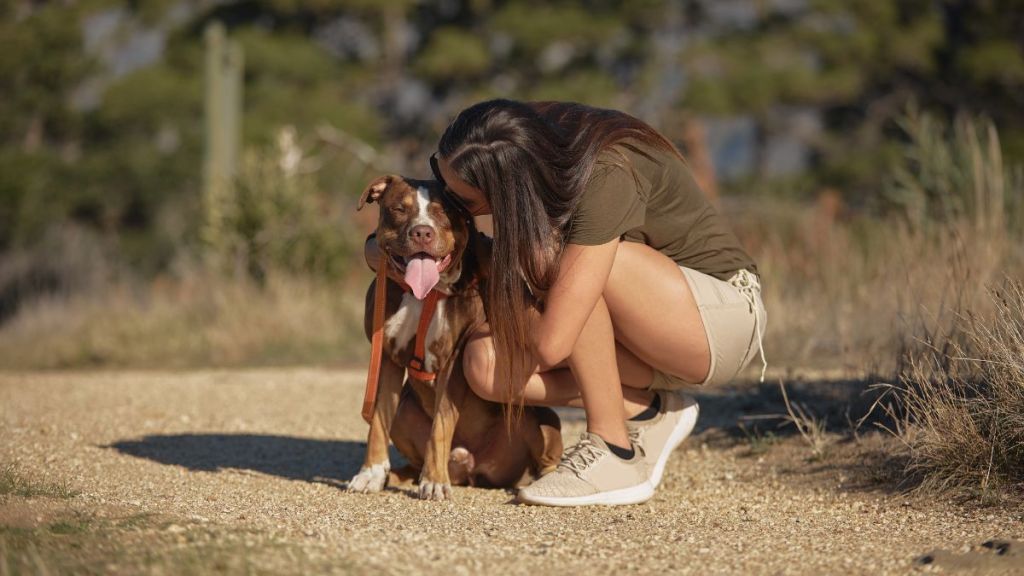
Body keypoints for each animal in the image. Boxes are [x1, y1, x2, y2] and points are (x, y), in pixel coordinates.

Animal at [348, 174, 565, 498]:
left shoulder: (454, 361)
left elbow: (441, 423)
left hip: (541, 418)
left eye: (444, 212)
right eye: (399, 209)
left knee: (546, 456)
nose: (422, 232)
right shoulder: (387, 355)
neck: (423, 296)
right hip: (405, 413)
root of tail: (471, 468)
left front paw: (434, 481)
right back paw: (399, 475)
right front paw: (370, 474)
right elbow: (377, 421)